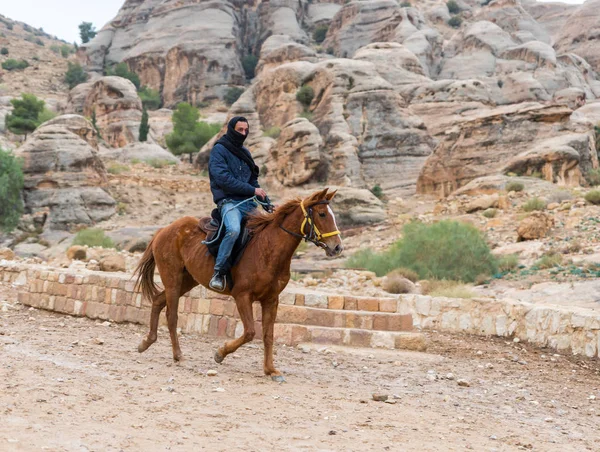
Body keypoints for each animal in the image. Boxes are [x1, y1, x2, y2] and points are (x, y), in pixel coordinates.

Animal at [134, 187, 344, 382]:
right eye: (322, 214)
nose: (337, 247)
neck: (268, 249)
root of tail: (164, 229)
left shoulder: (271, 300)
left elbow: (268, 335)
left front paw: (271, 370)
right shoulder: (242, 296)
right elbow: (250, 332)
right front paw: (220, 353)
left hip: (187, 280)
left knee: (157, 301)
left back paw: (146, 342)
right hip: (173, 279)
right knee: (171, 316)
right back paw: (178, 355)